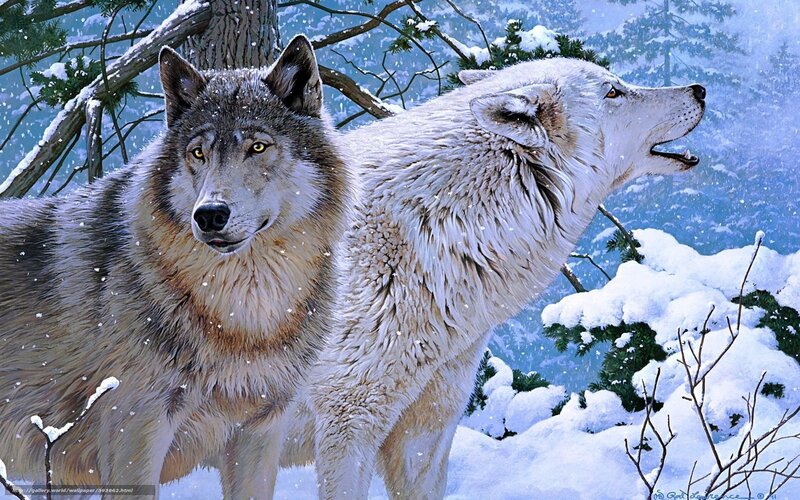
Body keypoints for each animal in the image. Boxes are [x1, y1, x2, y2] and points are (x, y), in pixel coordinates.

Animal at [0, 36, 350, 498]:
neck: (245, 315)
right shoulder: (135, 431)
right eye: (198, 153)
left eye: (257, 147)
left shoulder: (262, 427)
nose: (210, 214)